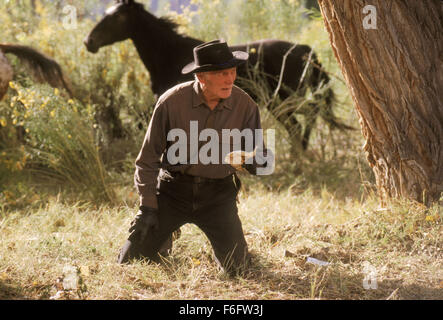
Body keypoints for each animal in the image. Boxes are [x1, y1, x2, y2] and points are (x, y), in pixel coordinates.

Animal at [85, 0, 352, 151]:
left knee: (306, 119)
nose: (89, 42)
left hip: (284, 98)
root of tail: (306, 49)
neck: (170, 54)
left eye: (117, 16)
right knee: (302, 121)